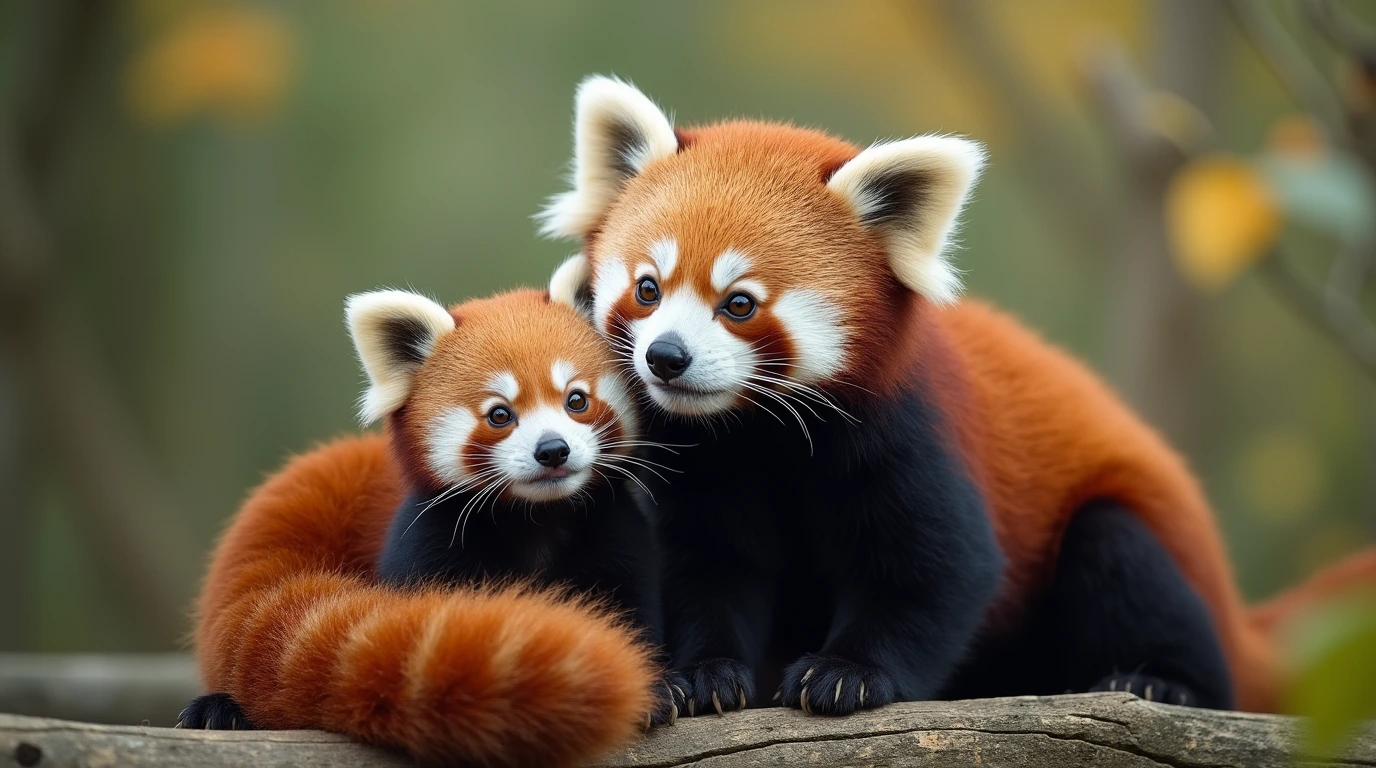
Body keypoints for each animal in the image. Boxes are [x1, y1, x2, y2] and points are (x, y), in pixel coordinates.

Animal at [183, 290, 676, 768]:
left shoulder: (616, 532)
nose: (553, 449)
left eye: (576, 400)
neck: (536, 518)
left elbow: (630, 604)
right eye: (500, 414)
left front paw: (656, 688)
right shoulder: (429, 540)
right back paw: (220, 710)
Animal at [533, 75, 1376, 721]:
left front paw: (849, 673)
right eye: (648, 288)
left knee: (1123, 556)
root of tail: (1240, 613)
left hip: (1153, 556)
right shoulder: (707, 466)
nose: (665, 358)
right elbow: (709, 567)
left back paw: (1158, 682)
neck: (757, 430)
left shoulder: (908, 433)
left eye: (738, 304)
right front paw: (704, 674)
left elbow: (940, 570)